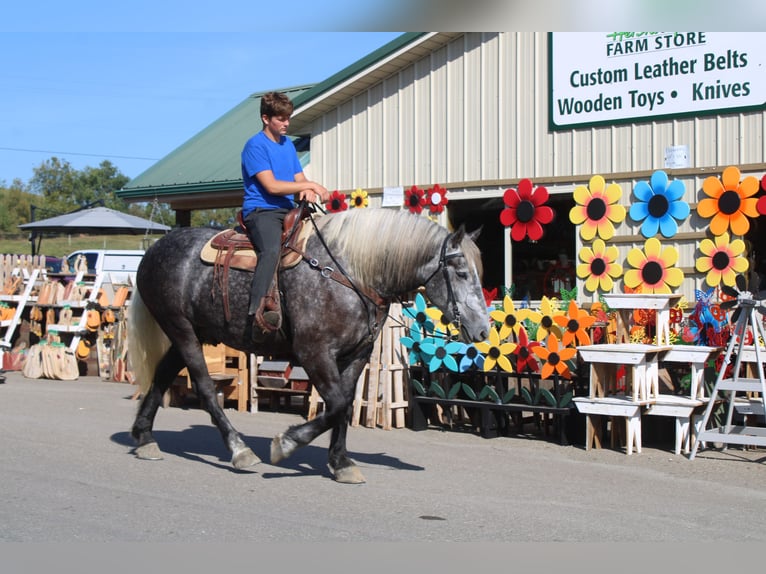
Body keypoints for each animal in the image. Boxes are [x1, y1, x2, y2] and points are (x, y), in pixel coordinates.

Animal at [128, 207, 490, 483]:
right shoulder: (314, 352)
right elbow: (338, 404)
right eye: (460, 272)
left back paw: (144, 438)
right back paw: (239, 449)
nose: (484, 330)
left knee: (161, 377)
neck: (350, 273)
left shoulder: (357, 355)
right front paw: (287, 443)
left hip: (191, 333)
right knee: (203, 387)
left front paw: (341, 463)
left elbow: (344, 406)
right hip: (183, 331)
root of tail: (153, 250)